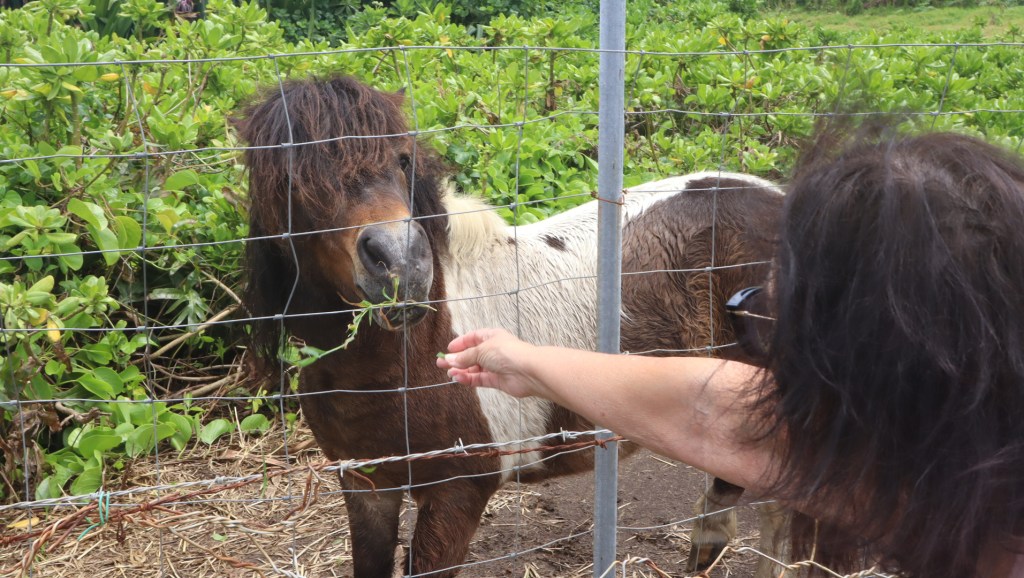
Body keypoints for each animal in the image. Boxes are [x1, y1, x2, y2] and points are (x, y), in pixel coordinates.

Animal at [235, 75, 789, 578]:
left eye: (402, 160)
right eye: (290, 181)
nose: (401, 265)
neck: (405, 358)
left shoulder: (458, 494)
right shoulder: (366, 485)